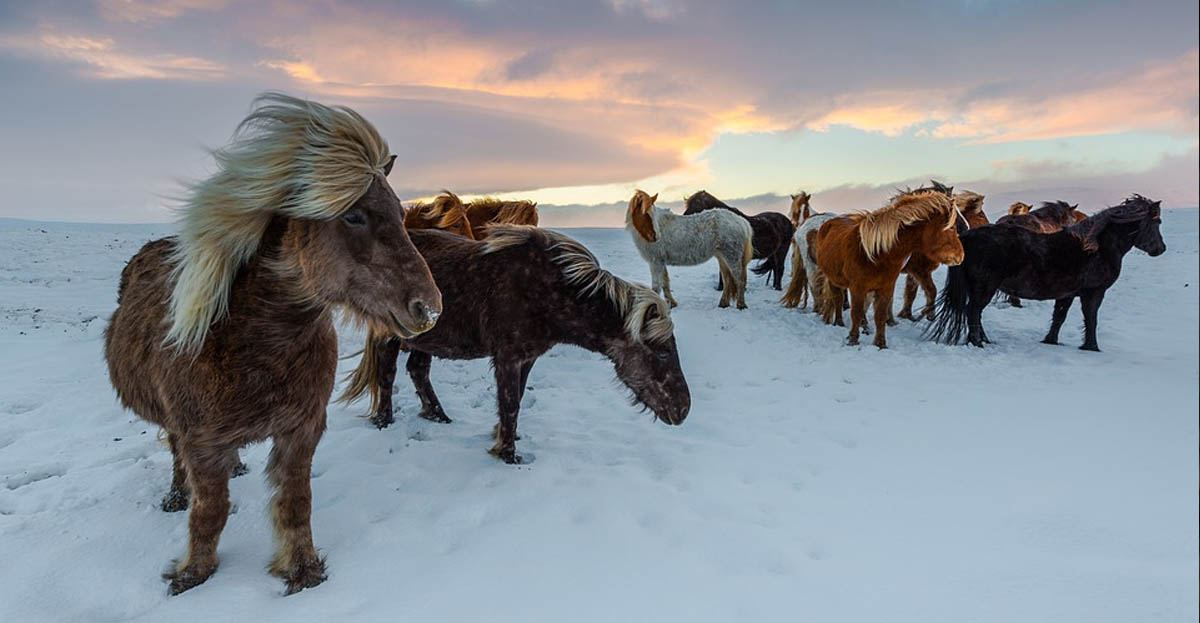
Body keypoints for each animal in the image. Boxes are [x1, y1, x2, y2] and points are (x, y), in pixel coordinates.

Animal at [103, 92, 441, 595]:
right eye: (354, 215)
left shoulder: (301, 431)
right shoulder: (201, 442)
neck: (255, 344)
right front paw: (192, 574)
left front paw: (302, 571)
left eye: (402, 215)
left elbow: (295, 503)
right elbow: (210, 512)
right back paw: (177, 495)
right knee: (175, 455)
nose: (429, 308)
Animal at [340, 226, 696, 465]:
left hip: (425, 338)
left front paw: (503, 437)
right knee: (386, 374)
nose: (683, 410)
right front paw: (508, 455)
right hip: (390, 337)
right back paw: (384, 421)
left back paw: (438, 417)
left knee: (417, 370)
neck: (548, 289)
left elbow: (517, 399)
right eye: (663, 351)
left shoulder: (528, 358)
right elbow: (510, 402)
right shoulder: (508, 357)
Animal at [811, 184, 969, 350]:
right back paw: (839, 323)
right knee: (838, 299)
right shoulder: (858, 287)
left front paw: (881, 343)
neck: (875, 253)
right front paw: (853, 340)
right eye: (951, 227)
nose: (960, 256)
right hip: (833, 279)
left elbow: (880, 314)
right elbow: (856, 312)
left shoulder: (887, 286)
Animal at [897, 190, 988, 321]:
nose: (991, 226)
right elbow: (931, 291)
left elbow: (911, 293)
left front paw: (907, 315)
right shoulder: (919, 270)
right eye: (981, 215)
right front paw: (929, 314)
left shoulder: (913, 272)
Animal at [921, 194, 1166, 350]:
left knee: (974, 313)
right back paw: (977, 343)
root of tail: (967, 237)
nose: (1161, 249)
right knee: (973, 312)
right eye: (1158, 222)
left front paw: (1051, 341)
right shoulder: (1093, 293)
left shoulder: (1067, 294)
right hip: (984, 288)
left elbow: (1059, 318)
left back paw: (985, 340)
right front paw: (1092, 347)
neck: (1096, 247)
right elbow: (1091, 318)